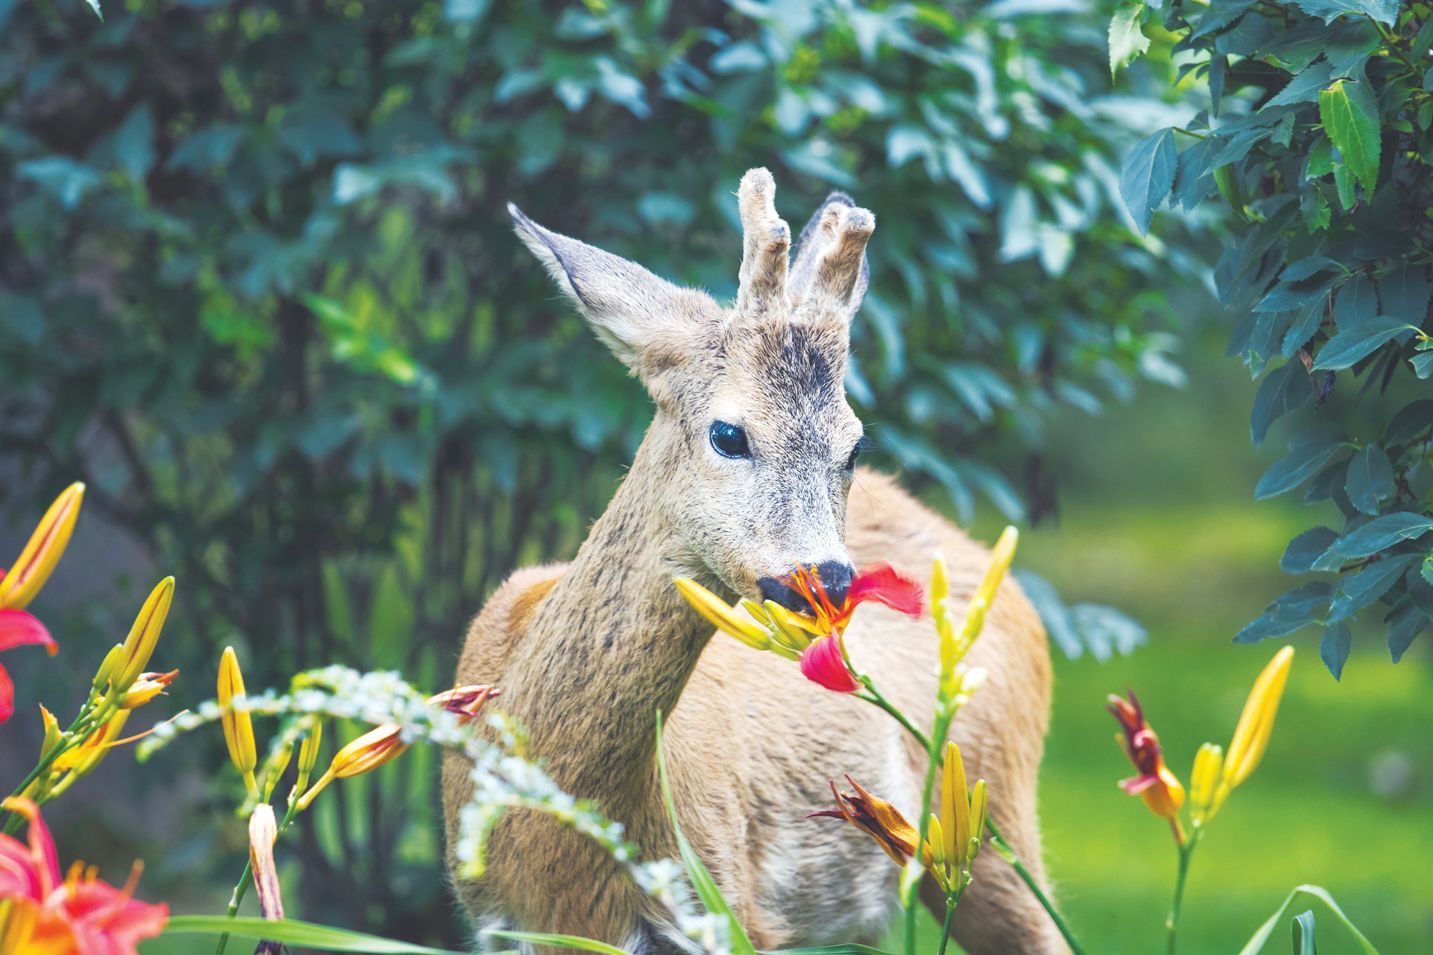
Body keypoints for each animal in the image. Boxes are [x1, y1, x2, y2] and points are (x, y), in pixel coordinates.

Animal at [441, 168, 1062, 954]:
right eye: (728, 434)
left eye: (853, 445)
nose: (829, 579)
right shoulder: (497, 922)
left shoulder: (730, 903)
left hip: (994, 805)